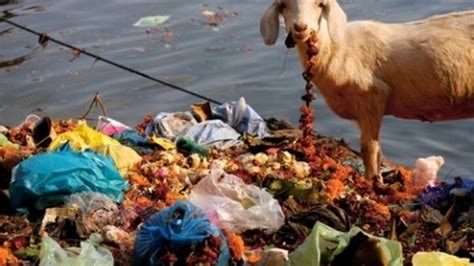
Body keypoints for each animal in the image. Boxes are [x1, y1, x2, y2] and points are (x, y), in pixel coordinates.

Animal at [260, 0, 474, 181]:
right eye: (283, 5)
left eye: (320, 4)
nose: (300, 27)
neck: (338, 49)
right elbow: (378, 151)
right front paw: (378, 178)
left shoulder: (372, 96)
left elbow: (368, 148)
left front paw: (370, 181)